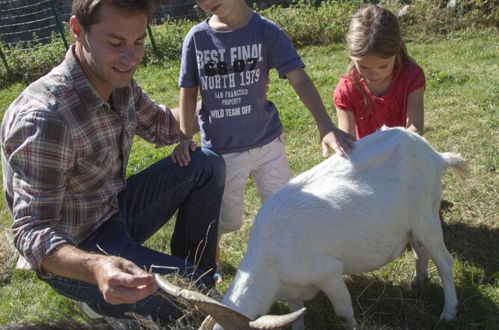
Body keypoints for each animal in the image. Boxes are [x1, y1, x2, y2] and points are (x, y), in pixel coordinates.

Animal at [155, 125, 464, 328]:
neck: (270, 258)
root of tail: (435, 155)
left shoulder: (330, 273)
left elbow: (344, 313)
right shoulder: (291, 294)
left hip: (426, 216)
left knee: (444, 261)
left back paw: (449, 312)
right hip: (409, 225)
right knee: (421, 252)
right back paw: (417, 283)